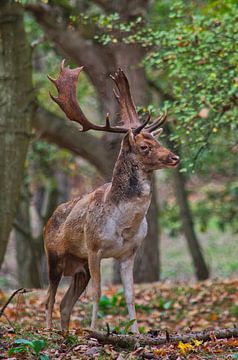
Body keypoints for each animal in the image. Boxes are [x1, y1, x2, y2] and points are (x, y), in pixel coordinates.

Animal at [44, 60, 178, 334]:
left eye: (157, 139)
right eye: (144, 146)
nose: (174, 157)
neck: (124, 224)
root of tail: (49, 219)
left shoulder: (129, 253)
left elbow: (130, 295)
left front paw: (136, 333)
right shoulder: (94, 248)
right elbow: (98, 293)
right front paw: (95, 330)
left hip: (79, 266)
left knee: (65, 303)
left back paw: (65, 333)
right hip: (54, 257)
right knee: (49, 298)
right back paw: (49, 331)